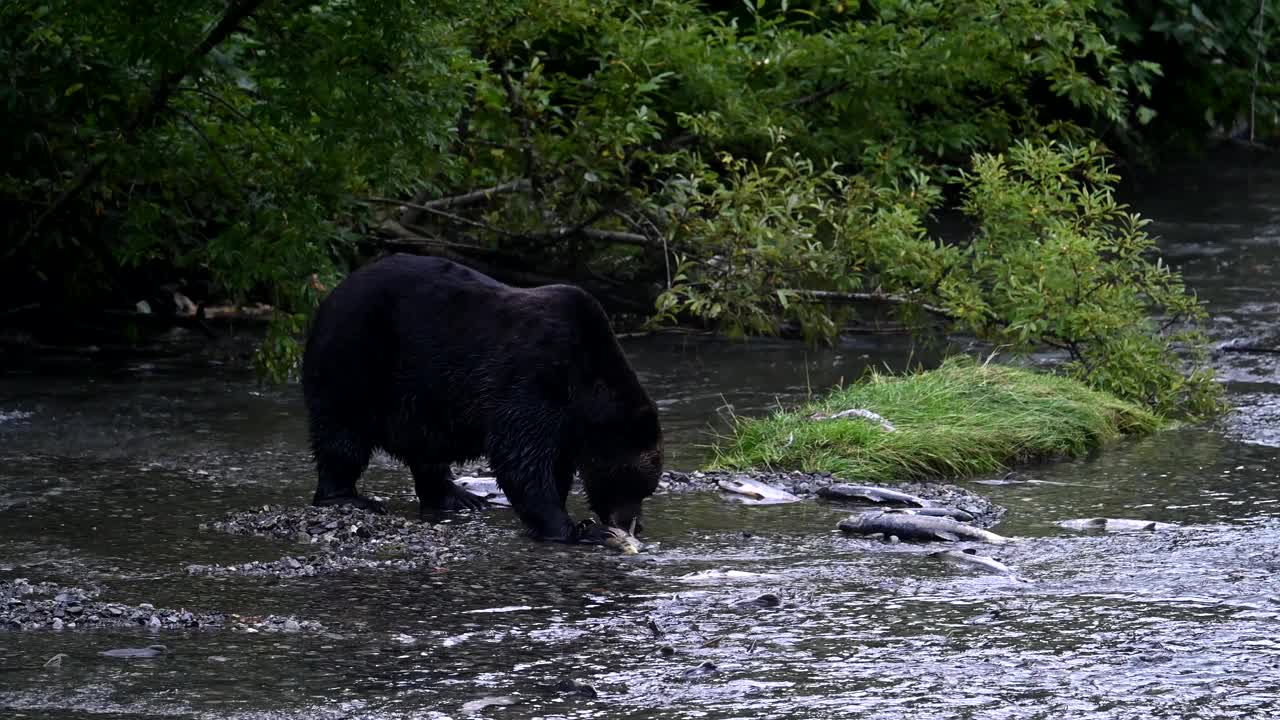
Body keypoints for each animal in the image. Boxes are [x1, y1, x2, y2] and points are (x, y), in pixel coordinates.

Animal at [298, 252, 660, 543]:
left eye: (645, 489)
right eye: (630, 483)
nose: (634, 525)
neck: (584, 387)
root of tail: (329, 296)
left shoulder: (563, 419)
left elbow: (550, 464)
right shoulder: (533, 378)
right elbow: (520, 459)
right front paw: (577, 529)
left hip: (419, 396)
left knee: (425, 449)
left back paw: (458, 497)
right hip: (356, 361)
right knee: (343, 434)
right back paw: (347, 497)